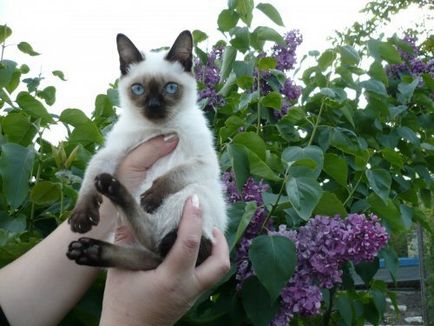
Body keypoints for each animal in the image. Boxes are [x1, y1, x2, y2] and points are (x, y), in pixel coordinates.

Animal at [66, 30, 229, 270]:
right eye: (138, 89)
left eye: (170, 88)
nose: (153, 106)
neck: (158, 130)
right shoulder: (111, 152)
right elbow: (89, 180)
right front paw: (81, 217)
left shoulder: (205, 162)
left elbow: (171, 176)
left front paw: (151, 197)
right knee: (151, 255)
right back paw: (90, 248)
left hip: (193, 194)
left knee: (158, 246)